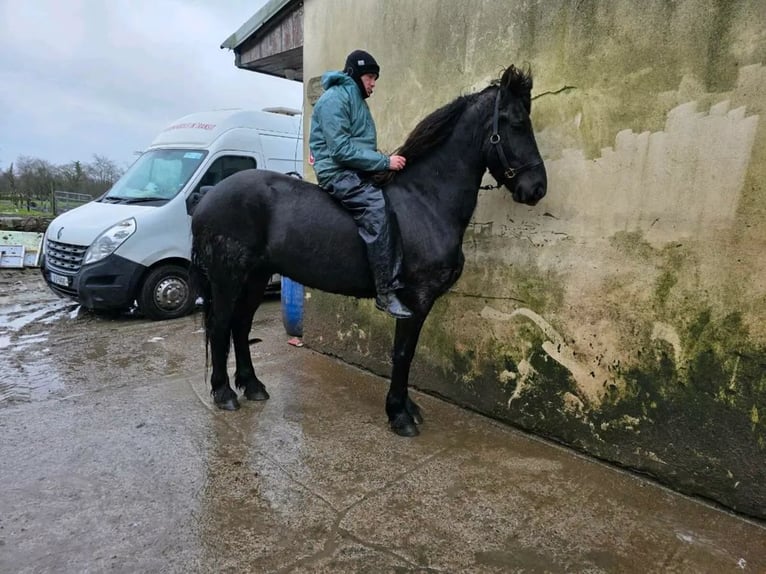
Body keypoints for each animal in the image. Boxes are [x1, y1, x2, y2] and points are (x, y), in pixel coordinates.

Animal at [190, 64, 547, 437]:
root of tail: (208, 196)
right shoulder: (415, 299)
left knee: (241, 325)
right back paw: (224, 393)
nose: (537, 188)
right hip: (227, 277)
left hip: (256, 277)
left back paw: (252, 385)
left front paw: (407, 408)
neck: (426, 201)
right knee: (221, 326)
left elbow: (407, 353)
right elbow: (403, 354)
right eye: (517, 122)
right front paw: (399, 415)